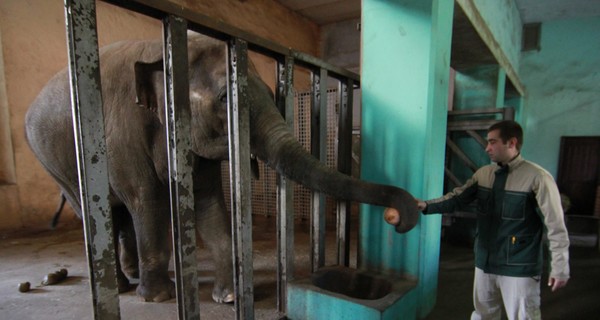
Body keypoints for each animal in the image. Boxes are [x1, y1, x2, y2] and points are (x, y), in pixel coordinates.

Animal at [23, 33, 418, 304]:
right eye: (227, 99)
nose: (400, 218)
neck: (161, 50)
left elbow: (208, 203)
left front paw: (228, 296)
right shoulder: (121, 134)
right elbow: (147, 202)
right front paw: (158, 298)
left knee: (116, 215)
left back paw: (128, 277)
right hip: (55, 163)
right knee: (97, 211)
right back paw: (121, 285)